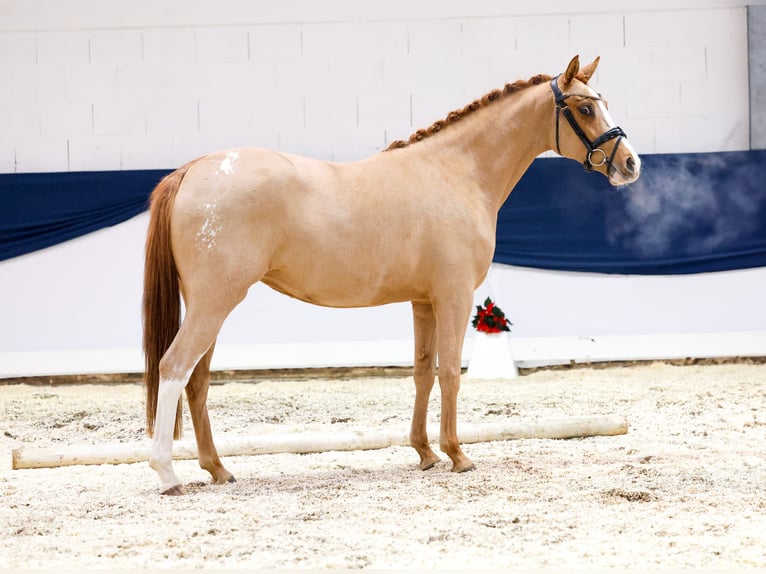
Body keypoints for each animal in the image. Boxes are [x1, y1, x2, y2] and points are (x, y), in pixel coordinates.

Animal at [142, 56, 640, 496]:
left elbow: (421, 372)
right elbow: (449, 373)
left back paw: (218, 469)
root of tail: (194, 169)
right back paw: (167, 475)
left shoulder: (423, 301)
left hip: (208, 304)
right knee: (174, 367)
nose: (631, 164)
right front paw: (458, 454)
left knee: (196, 380)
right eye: (585, 108)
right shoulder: (454, 296)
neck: (455, 172)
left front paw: (426, 453)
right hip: (215, 302)